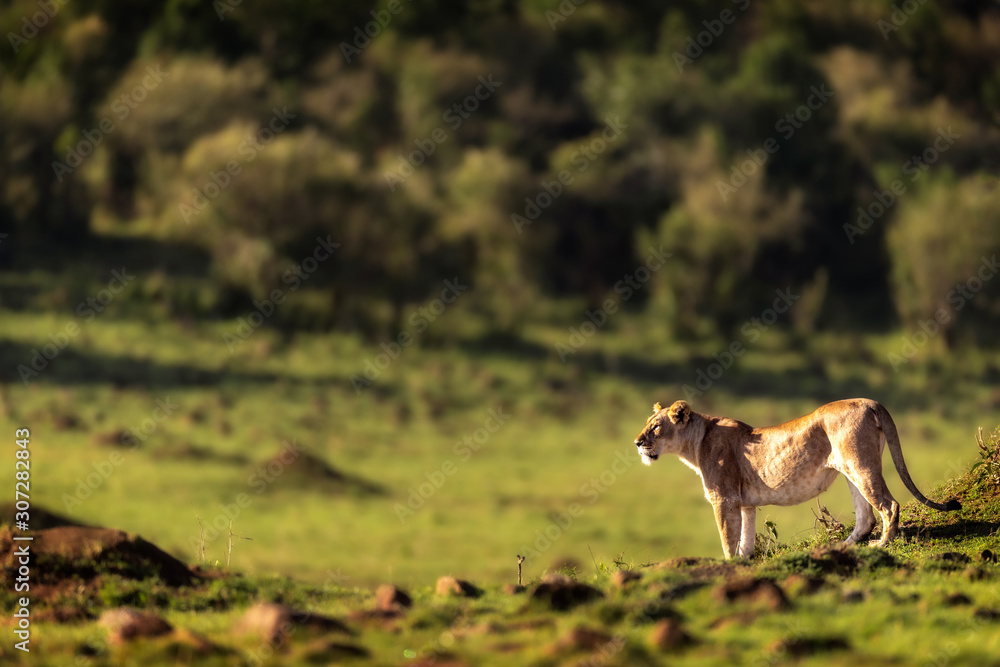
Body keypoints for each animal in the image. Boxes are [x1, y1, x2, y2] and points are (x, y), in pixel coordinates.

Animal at [633, 399, 961, 558]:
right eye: (647, 424)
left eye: (656, 427)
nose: (637, 442)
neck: (694, 443)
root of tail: (871, 402)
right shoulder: (744, 503)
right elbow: (745, 540)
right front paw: (744, 561)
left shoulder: (723, 500)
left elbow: (728, 540)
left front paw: (729, 564)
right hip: (851, 471)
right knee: (866, 516)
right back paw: (841, 547)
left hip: (860, 465)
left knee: (889, 506)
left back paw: (881, 545)